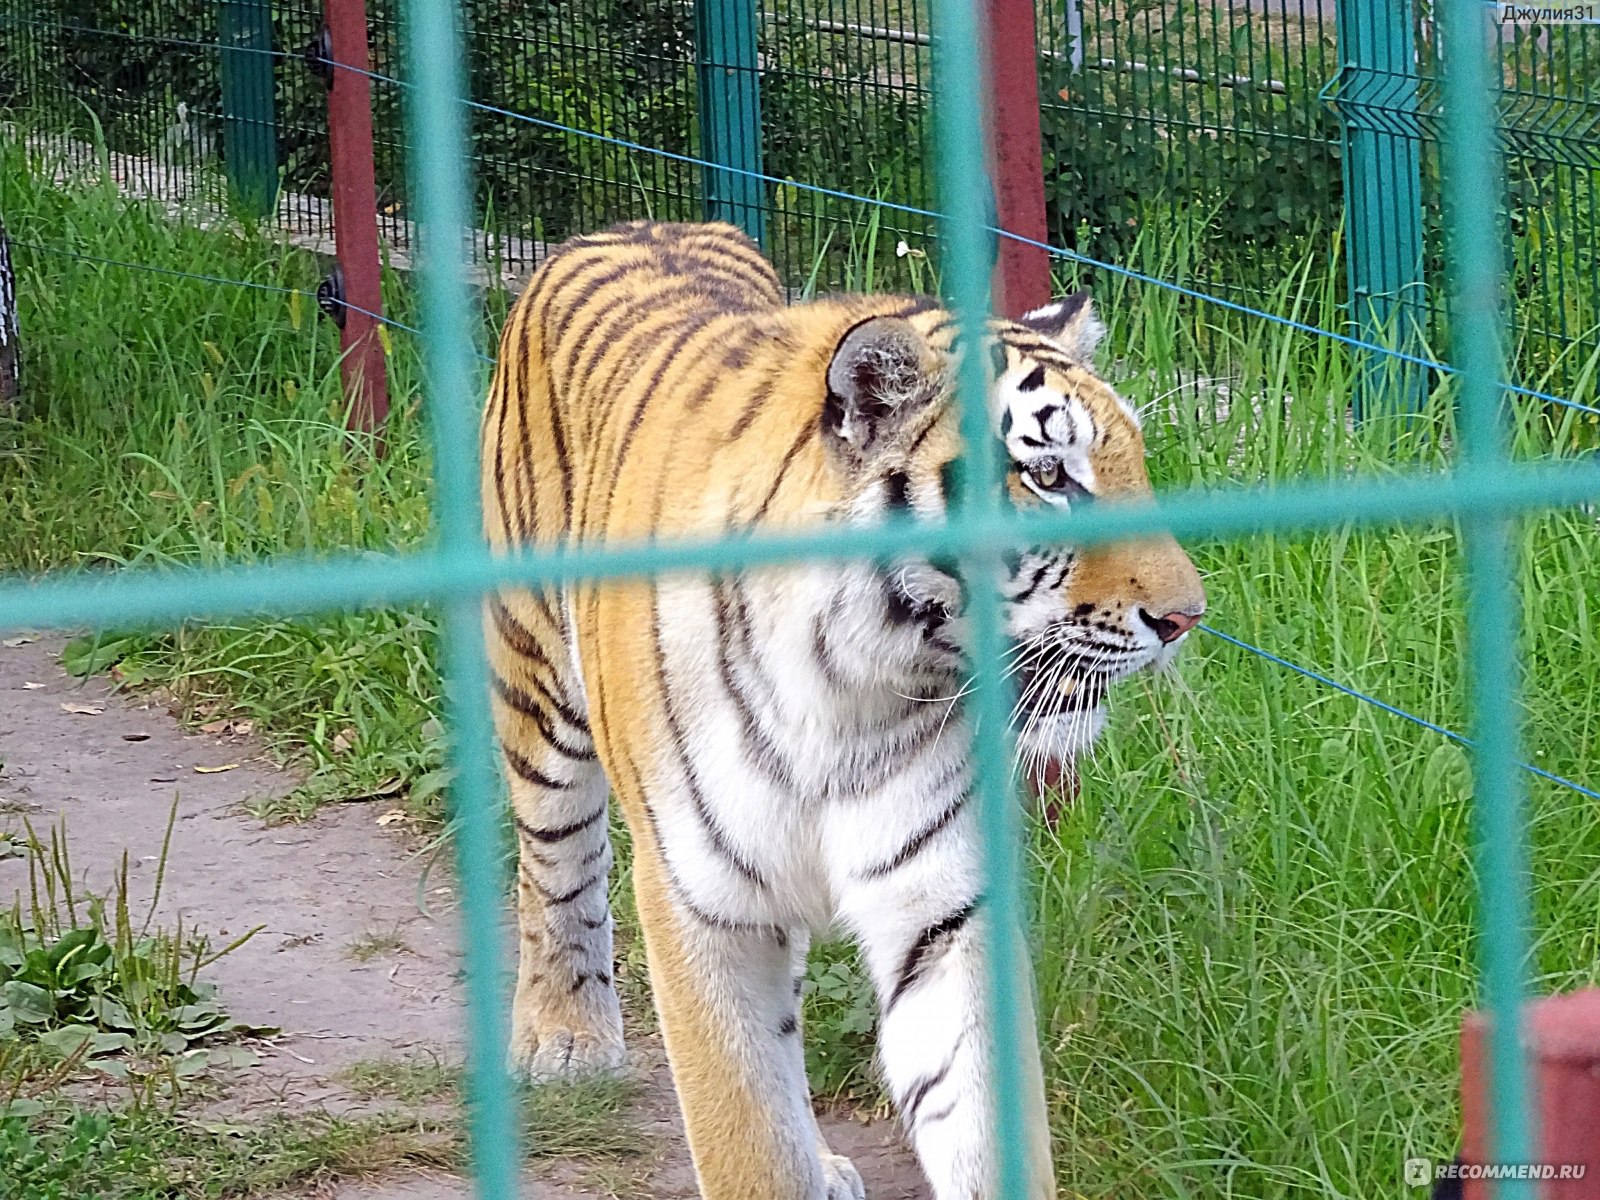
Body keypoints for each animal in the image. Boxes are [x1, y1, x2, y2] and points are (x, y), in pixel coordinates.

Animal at [480, 220, 1203, 1196]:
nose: (1187, 616)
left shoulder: (943, 902)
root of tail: (631, 224)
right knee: (557, 864)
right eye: (1050, 474)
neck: (848, 689)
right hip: (538, 691)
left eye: (1136, 461)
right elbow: (746, 1132)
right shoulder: (700, 902)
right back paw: (566, 1038)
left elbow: (978, 1111)